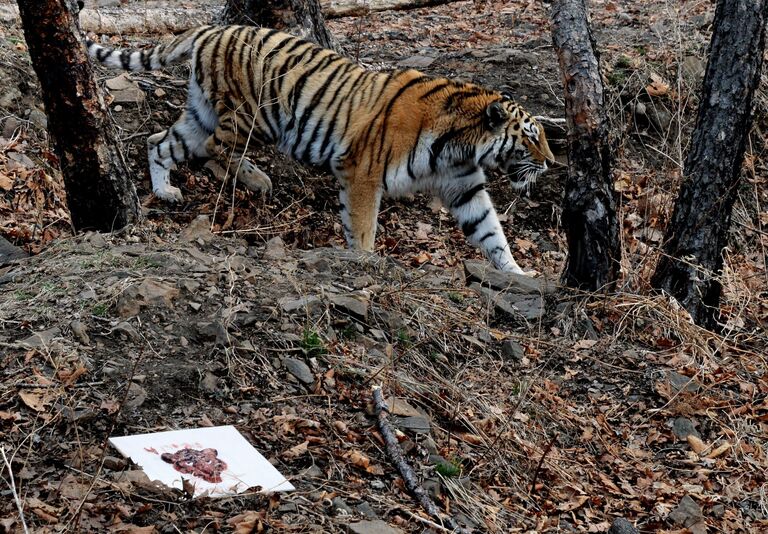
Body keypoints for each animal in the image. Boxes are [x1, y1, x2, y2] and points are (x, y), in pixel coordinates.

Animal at [85, 25, 552, 276]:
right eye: (531, 136)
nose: (549, 163)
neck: (461, 146)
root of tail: (210, 29)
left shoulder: (463, 185)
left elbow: (491, 232)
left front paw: (517, 273)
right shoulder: (362, 171)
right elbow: (362, 228)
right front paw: (363, 262)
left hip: (200, 115)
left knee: (158, 142)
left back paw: (165, 191)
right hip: (251, 117)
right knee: (215, 150)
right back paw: (254, 178)